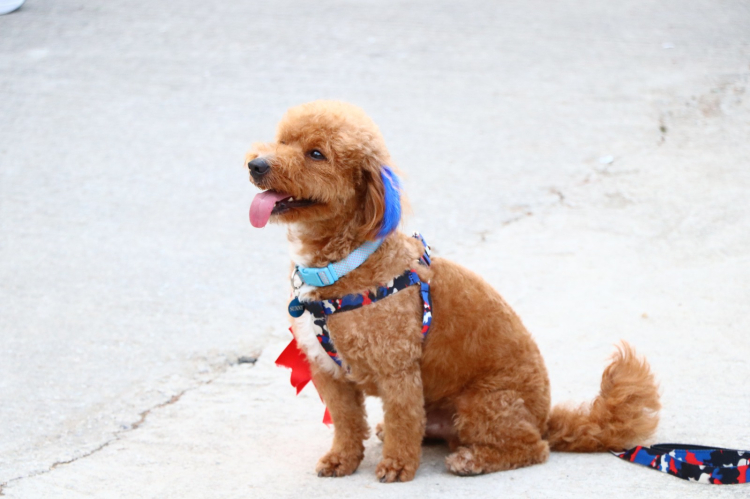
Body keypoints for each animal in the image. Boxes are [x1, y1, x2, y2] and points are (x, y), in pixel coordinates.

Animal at [246, 100, 660, 482]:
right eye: (282, 141)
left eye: (317, 153)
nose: (256, 165)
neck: (344, 263)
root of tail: (544, 418)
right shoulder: (328, 372)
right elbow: (347, 423)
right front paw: (341, 460)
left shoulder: (398, 371)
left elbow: (401, 421)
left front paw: (397, 466)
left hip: (484, 402)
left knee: (530, 448)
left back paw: (473, 460)